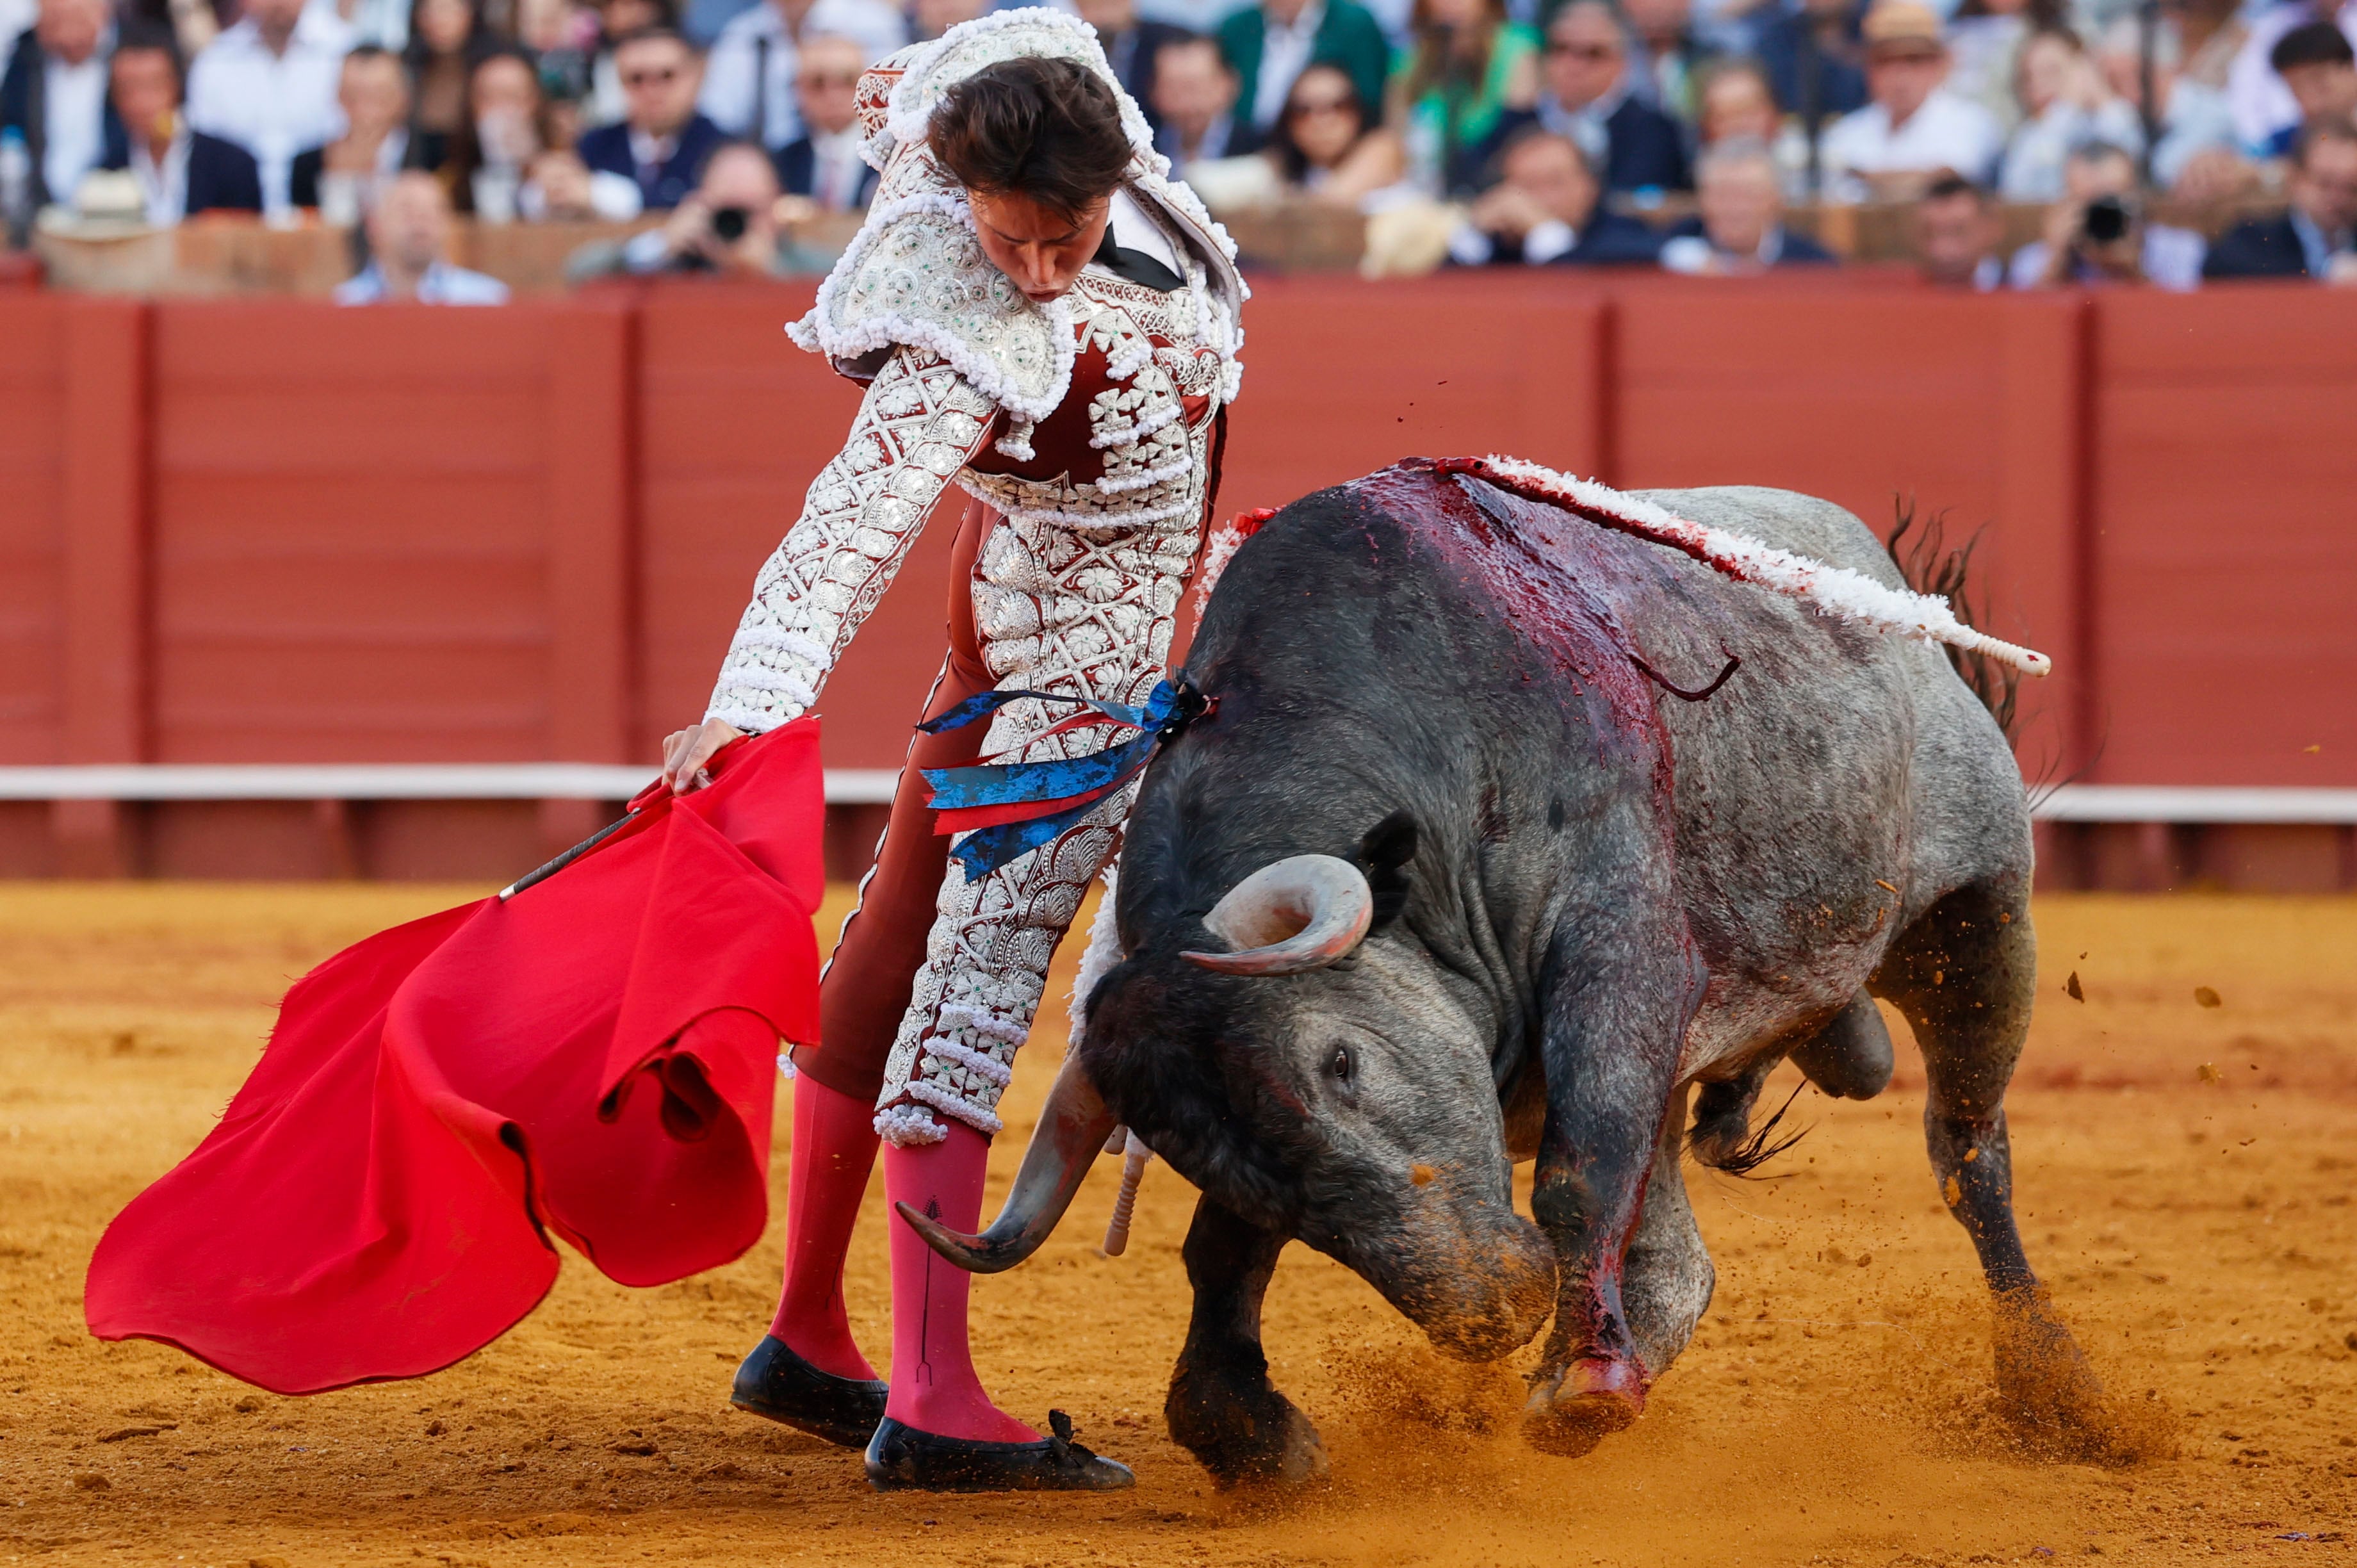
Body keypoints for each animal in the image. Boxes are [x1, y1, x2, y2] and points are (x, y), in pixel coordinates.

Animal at [895, 462, 2102, 1480]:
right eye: (1197, 1152)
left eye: (1341, 1062)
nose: (1486, 1313)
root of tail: (1889, 592)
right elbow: (1220, 1254)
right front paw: (1249, 1428)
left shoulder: (1619, 954)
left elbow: (1580, 1171)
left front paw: (1586, 1381)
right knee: (1683, 1256)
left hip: (1981, 920)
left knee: (1968, 1153)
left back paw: (2055, 1389)